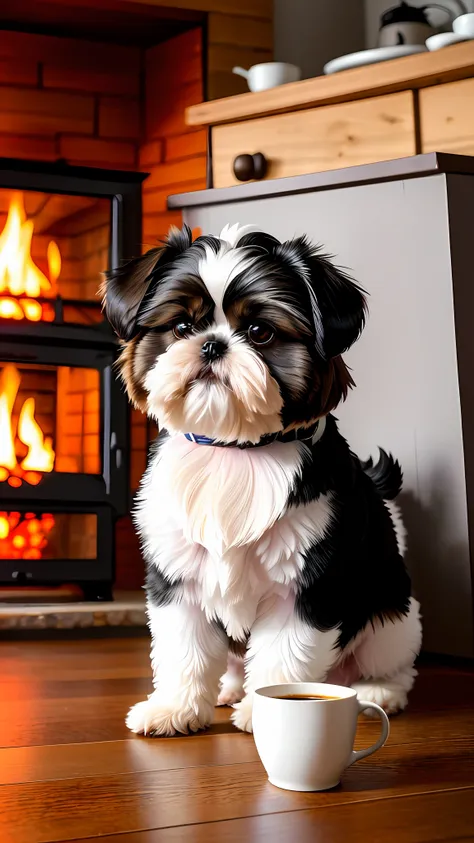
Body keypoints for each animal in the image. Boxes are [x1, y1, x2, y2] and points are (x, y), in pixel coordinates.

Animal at [103, 221, 422, 736]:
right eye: (182, 327)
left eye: (259, 331)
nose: (212, 343)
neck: (234, 448)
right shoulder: (177, 581)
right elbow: (183, 651)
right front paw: (175, 709)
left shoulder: (305, 583)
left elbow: (284, 656)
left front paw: (269, 713)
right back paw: (228, 688)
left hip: (390, 615)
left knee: (391, 659)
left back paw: (379, 690)